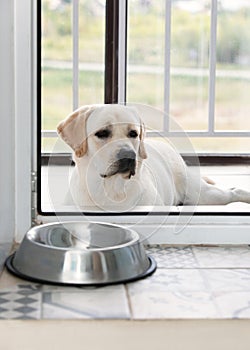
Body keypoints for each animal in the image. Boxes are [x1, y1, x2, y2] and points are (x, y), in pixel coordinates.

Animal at [56, 102, 250, 209]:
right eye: (102, 133)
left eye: (133, 133)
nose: (128, 156)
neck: (112, 190)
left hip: (202, 194)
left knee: (233, 191)